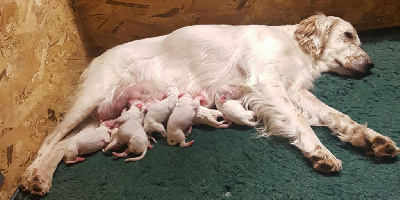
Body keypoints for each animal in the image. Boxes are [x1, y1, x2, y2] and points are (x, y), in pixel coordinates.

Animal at [21, 13, 400, 195]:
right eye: (348, 35)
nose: (371, 65)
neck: (295, 47)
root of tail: (93, 60)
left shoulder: (295, 91)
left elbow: (338, 117)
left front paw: (371, 140)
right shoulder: (267, 84)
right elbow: (303, 124)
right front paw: (321, 153)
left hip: (101, 117)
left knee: (64, 145)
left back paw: (40, 178)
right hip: (89, 100)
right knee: (49, 142)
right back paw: (30, 176)